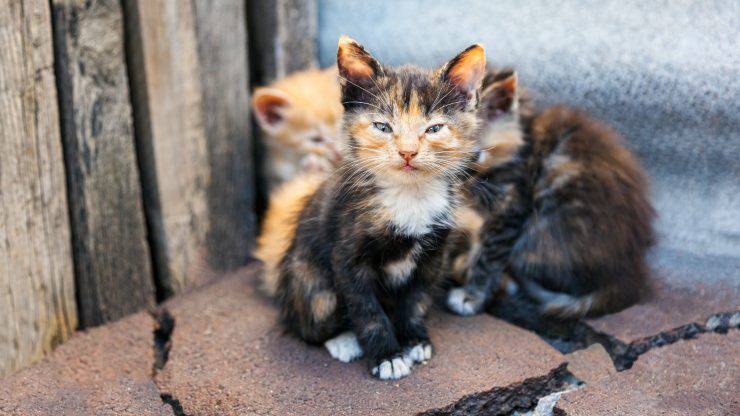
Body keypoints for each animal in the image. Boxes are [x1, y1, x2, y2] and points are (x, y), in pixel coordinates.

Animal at [260, 37, 486, 378]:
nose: (408, 152)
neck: (409, 195)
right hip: (312, 284)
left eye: (434, 129)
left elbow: (416, 299)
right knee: (307, 324)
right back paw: (342, 340)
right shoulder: (347, 256)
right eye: (382, 126)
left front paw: (415, 339)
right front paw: (387, 357)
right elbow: (367, 310)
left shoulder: (434, 255)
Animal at [448, 70, 656, 318]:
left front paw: (472, 296)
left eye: (471, 157)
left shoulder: (510, 207)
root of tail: (629, 271)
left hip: (540, 233)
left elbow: (489, 256)